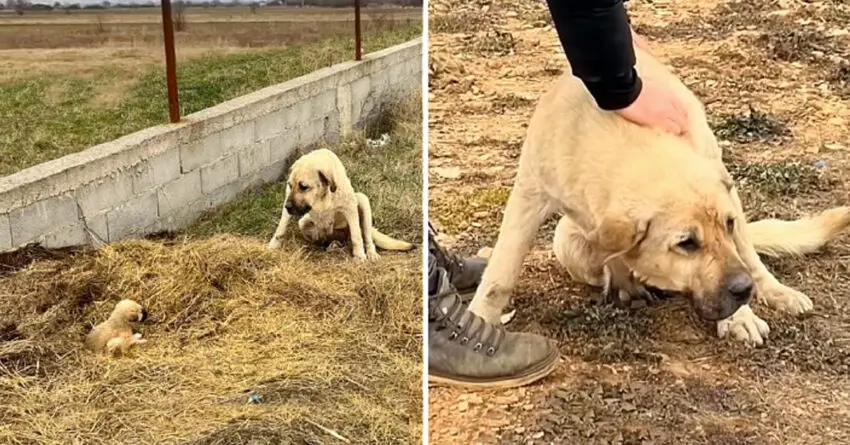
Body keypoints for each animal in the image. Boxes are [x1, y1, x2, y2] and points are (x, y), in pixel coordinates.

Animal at [264, 148, 412, 260]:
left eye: (304, 187)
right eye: (290, 185)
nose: (287, 207)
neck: (322, 196)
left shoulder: (350, 206)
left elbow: (357, 236)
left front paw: (359, 256)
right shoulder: (288, 199)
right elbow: (281, 228)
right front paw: (273, 245)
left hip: (362, 200)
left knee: (366, 236)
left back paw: (370, 253)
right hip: (304, 222)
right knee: (325, 239)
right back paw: (331, 244)